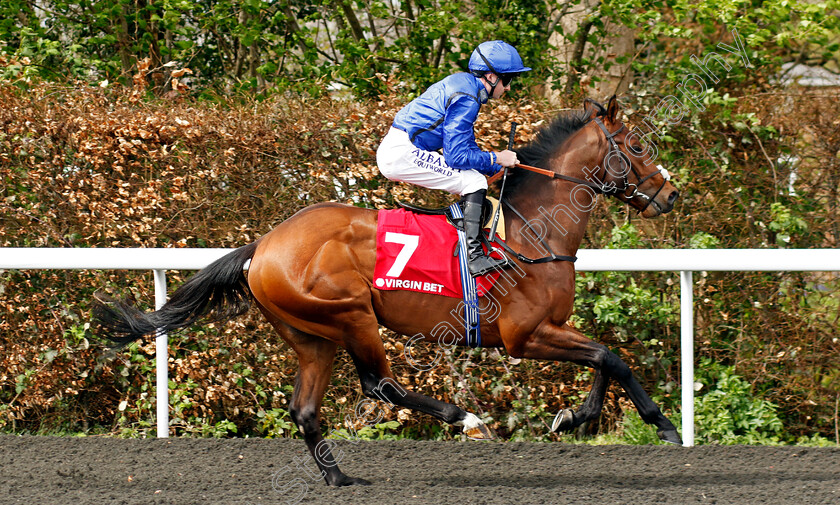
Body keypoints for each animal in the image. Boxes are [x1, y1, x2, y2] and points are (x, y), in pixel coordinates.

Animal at [93, 94, 684, 484]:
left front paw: (578, 417)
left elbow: (608, 357)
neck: (531, 233)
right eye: (635, 145)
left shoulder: (552, 327)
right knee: (380, 385)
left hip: (312, 335)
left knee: (305, 410)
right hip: (352, 315)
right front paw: (663, 426)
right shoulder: (527, 335)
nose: (671, 195)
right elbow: (612, 357)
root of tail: (262, 246)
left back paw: (341, 480)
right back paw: (465, 419)